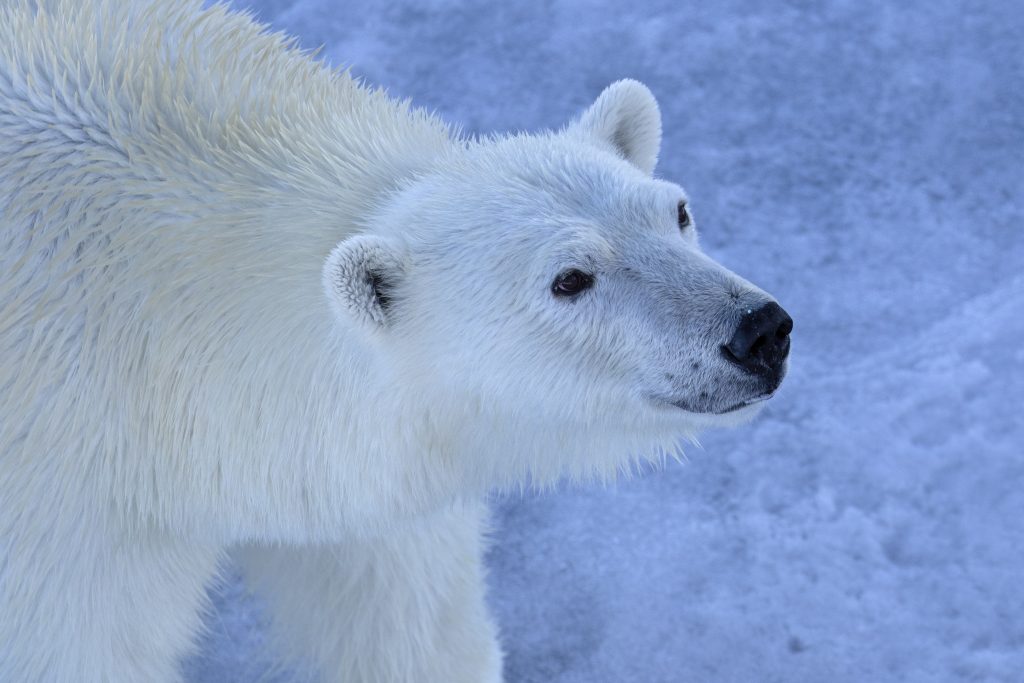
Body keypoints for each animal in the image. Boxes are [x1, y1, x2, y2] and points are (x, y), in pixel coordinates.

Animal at [0, 1, 792, 681]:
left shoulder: (358, 471)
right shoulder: (65, 519)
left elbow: (406, 623)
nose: (758, 331)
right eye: (569, 278)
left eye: (676, 212)